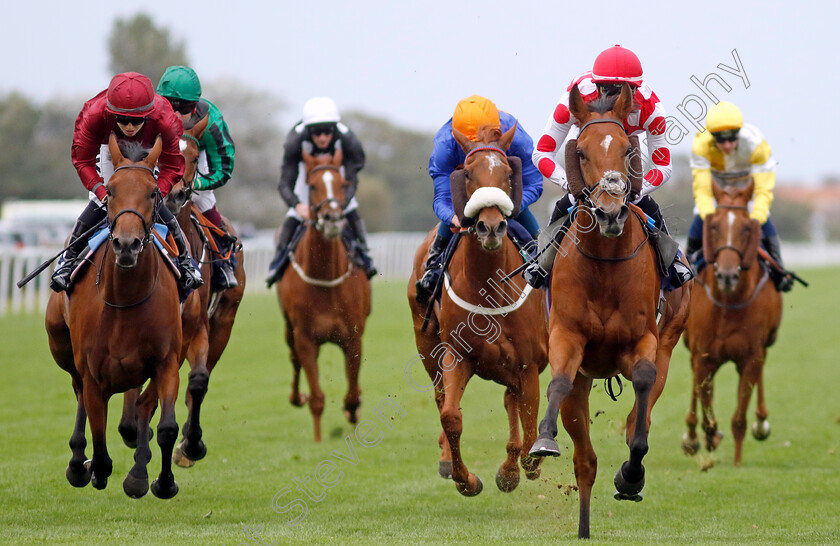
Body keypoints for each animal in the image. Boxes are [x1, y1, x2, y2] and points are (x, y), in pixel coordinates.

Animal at [46, 135, 182, 498]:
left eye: (153, 192)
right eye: (111, 190)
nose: (126, 244)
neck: (125, 299)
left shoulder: (167, 363)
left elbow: (167, 427)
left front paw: (162, 482)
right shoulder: (93, 374)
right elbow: (100, 441)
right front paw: (90, 467)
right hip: (62, 349)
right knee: (78, 392)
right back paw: (78, 463)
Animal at [276, 147, 370, 440]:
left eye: (341, 183)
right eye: (313, 185)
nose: (332, 219)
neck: (325, 280)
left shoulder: (353, 338)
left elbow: (351, 394)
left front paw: (353, 409)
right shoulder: (305, 338)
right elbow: (317, 398)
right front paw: (317, 441)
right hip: (289, 330)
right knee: (294, 360)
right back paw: (297, 396)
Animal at [408, 125, 552, 496]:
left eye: (507, 174)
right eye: (468, 174)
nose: (490, 226)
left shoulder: (528, 364)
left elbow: (529, 425)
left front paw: (517, 469)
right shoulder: (457, 356)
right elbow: (450, 416)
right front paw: (466, 479)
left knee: (513, 404)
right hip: (427, 346)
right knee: (441, 397)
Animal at [528, 85, 692, 536]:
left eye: (626, 150)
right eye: (581, 152)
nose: (610, 212)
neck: (604, 261)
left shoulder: (643, 340)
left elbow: (643, 389)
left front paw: (631, 475)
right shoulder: (566, 336)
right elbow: (558, 384)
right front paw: (544, 438)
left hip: (668, 342)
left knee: (644, 405)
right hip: (585, 377)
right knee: (585, 460)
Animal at [680, 177, 784, 464]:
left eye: (747, 228)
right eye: (714, 226)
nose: (728, 275)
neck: (727, 306)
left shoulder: (751, 357)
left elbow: (739, 418)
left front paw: (737, 462)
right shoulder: (703, 356)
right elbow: (706, 406)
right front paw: (705, 438)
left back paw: (761, 422)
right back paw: (692, 436)